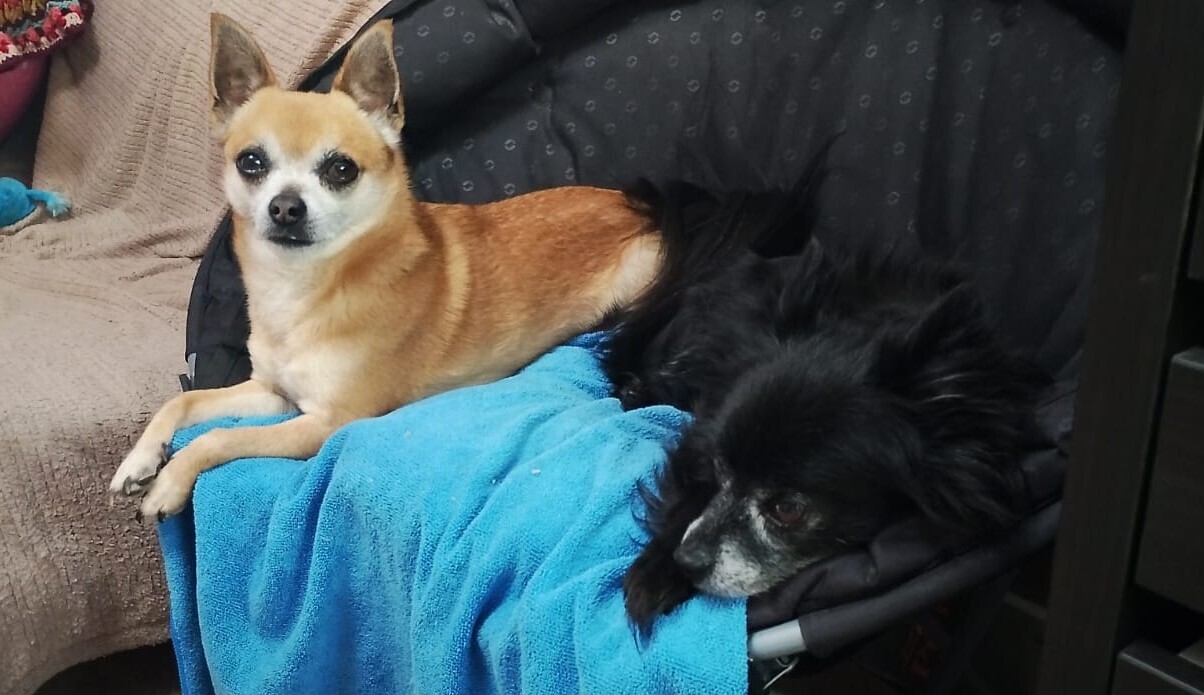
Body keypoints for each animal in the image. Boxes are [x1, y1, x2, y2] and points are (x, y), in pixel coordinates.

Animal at [109, 14, 665, 520]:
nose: (285, 207)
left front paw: (169, 482)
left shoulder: (324, 423)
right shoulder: (274, 395)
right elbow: (182, 403)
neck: (301, 289)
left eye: (340, 169)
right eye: (251, 163)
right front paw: (141, 459)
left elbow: (218, 438)